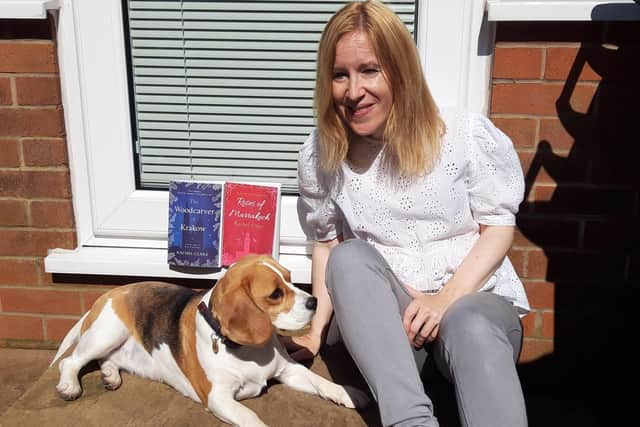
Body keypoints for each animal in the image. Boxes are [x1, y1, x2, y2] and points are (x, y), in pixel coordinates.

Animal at [52, 256, 368, 426]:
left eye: (290, 278)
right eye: (276, 294)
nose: (315, 301)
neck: (248, 350)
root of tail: (114, 291)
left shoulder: (290, 371)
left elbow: (321, 381)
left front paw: (350, 392)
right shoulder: (219, 397)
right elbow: (251, 417)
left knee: (106, 360)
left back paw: (110, 375)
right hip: (108, 332)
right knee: (71, 361)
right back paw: (70, 385)